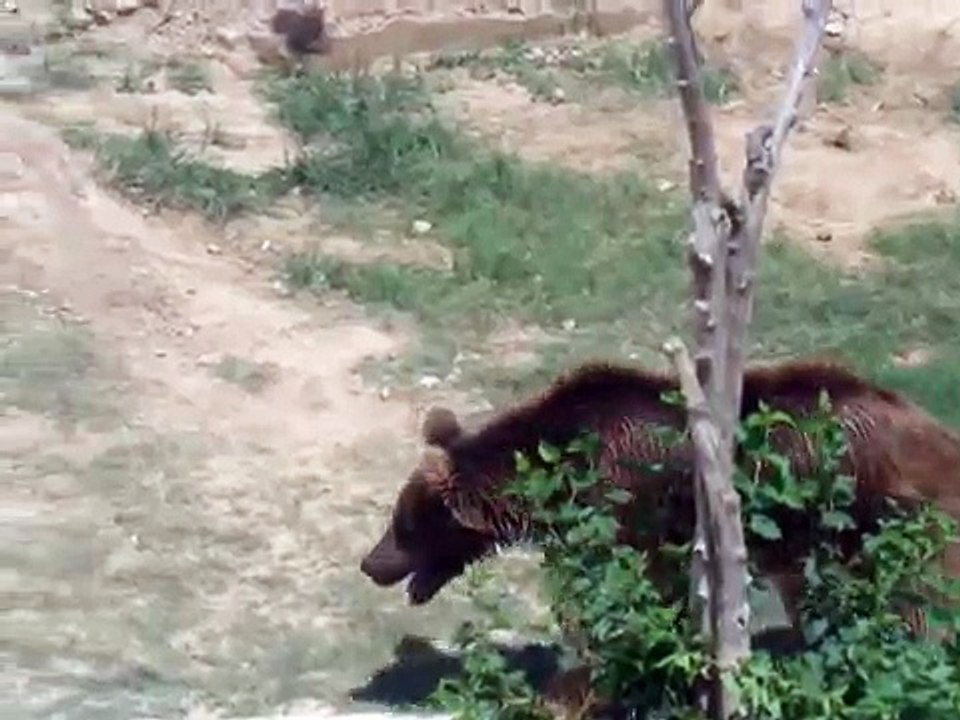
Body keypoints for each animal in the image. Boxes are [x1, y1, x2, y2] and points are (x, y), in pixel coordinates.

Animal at [360, 359, 960, 640]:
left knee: (916, 598)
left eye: (405, 525)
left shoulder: (627, 505)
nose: (370, 563)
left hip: (883, 509)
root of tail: (937, 430)